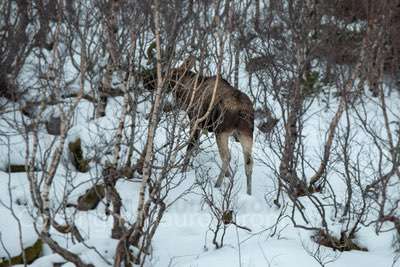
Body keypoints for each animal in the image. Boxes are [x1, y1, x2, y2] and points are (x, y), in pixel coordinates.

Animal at [141, 56, 253, 195]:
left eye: (166, 73)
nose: (145, 80)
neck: (187, 92)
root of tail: (243, 110)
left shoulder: (195, 121)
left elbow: (190, 147)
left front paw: (183, 170)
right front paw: (229, 176)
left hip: (222, 131)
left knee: (227, 157)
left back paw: (217, 184)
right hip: (246, 134)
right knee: (249, 162)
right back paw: (249, 192)